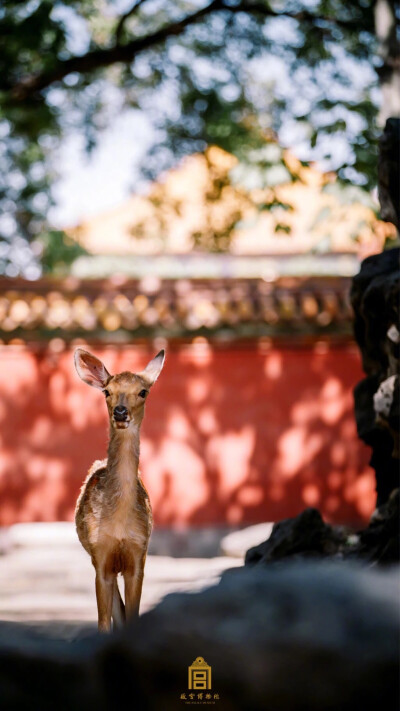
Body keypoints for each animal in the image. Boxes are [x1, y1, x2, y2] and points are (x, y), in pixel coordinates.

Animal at [73, 348, 164, 632]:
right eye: (107, 391)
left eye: (143, 391)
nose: (120, 412)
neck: (120, 525)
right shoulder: (100, 554)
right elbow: (104, 621)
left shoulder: (139, 553)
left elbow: (131, 615)